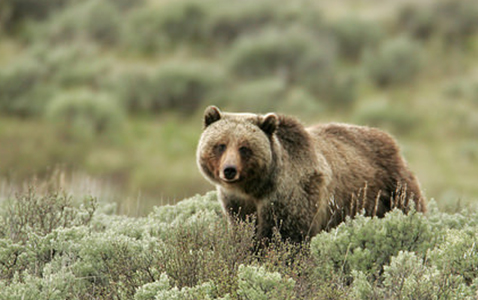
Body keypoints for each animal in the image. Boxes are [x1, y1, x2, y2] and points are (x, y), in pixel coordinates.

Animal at [196, 106, 428, 243]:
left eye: (244, 148)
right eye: (220, 145)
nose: (229, 170)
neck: (257, 187)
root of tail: (391, 139)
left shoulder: (293, 194)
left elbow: (286, 235)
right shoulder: (238, 203)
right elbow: (244, 229)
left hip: (391, 188)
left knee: (408, 206)